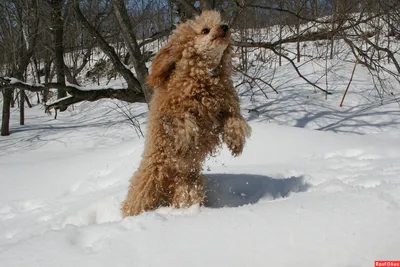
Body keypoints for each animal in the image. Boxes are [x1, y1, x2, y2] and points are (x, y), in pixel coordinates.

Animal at [122, 9, 252, 218]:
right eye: (205, 30)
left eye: (221, 23)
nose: (225, 27)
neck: (204, 80)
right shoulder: (170, 111)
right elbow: (182, 120)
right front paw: (187, 139)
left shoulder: (224, 108)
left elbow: (235, 121)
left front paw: (236, 142)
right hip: (150, 182)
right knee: (136, 200)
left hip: (188, 185)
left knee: (185, 197)